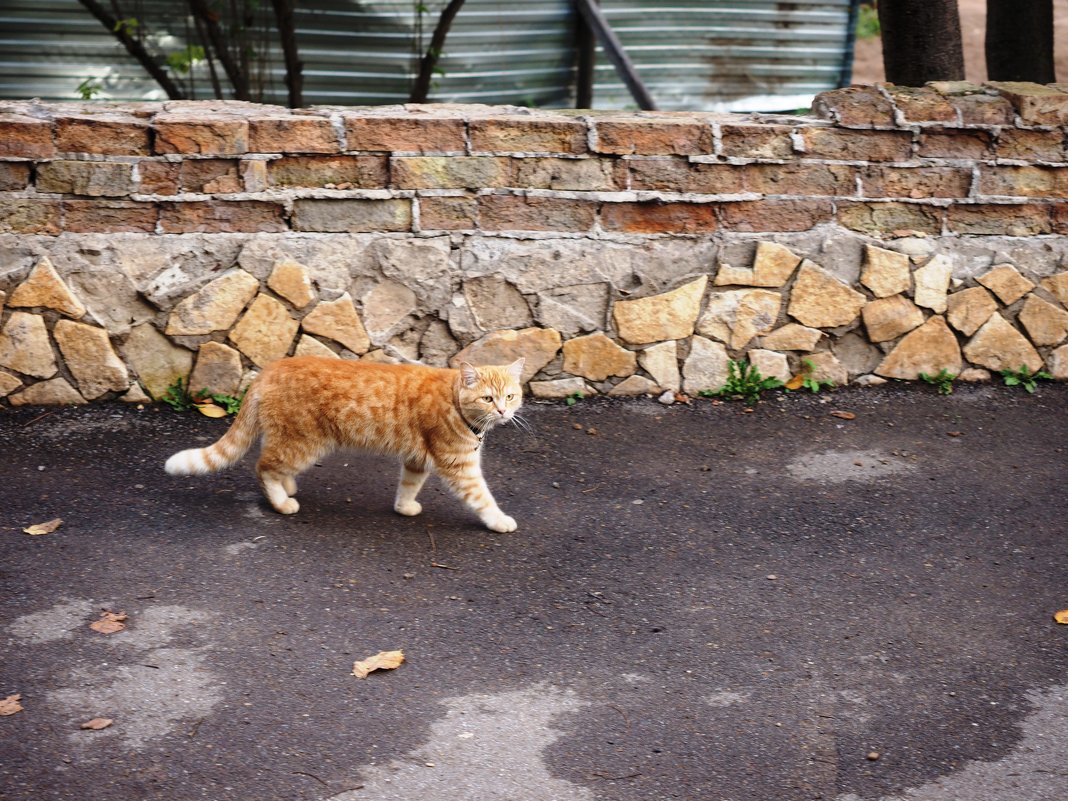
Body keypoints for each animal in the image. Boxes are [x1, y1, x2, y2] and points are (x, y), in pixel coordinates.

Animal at [163, 356, 525, 534]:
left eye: (510, 396)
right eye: (488, 399)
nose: (503, 412)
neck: (454, 401)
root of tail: (271, 368)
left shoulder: (417, 459)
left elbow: (409, 485)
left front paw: (404, 507)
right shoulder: (459, 466)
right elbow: (483, 498)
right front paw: (500, 521)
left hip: (288, 437)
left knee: (272, 460)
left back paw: (288, 486)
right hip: (304, 443)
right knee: (263, 467)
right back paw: (281, 501)